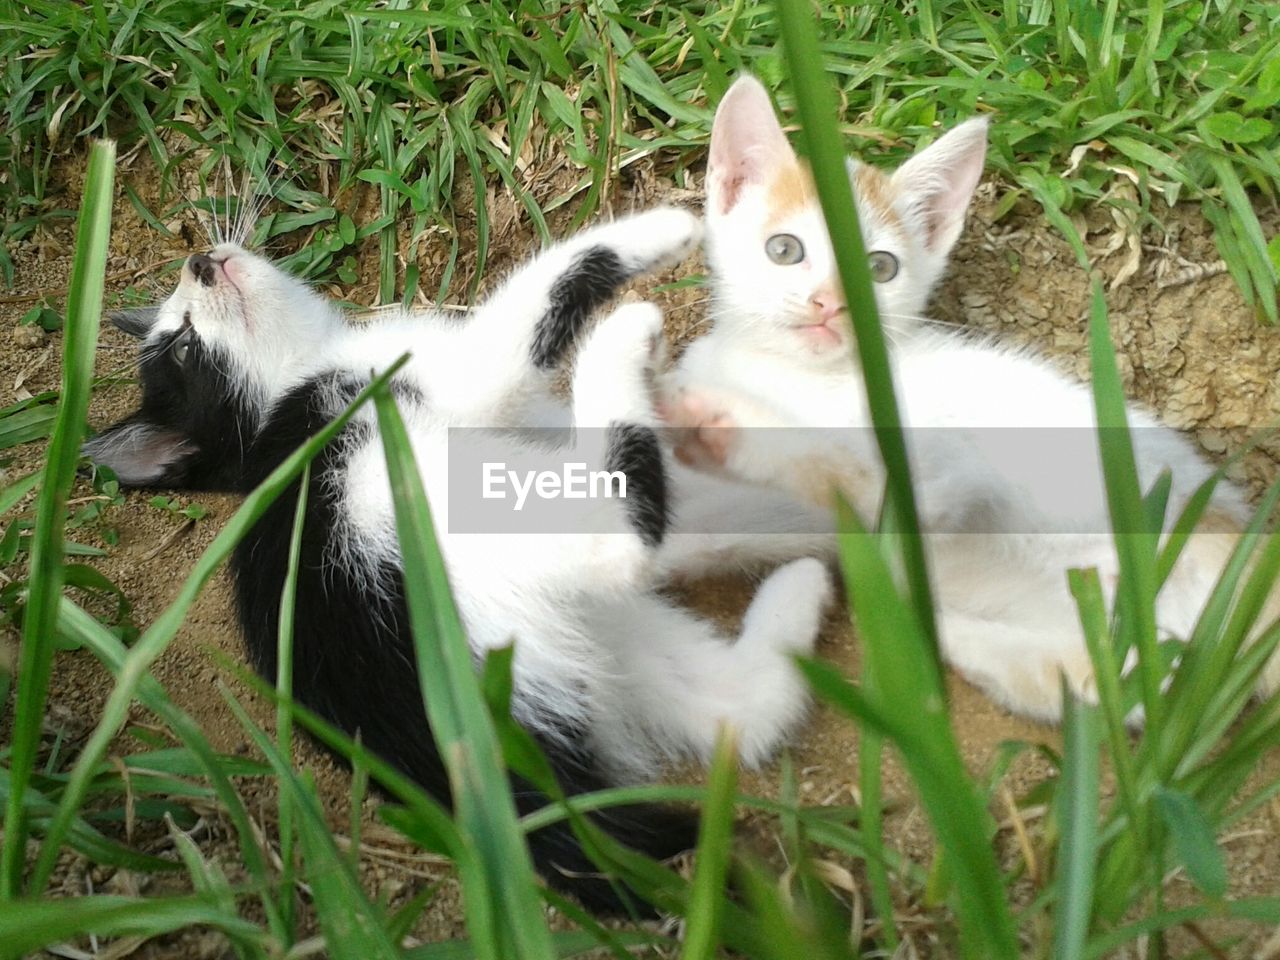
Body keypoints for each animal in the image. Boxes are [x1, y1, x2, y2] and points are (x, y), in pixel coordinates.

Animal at [85, 208, 834, 911]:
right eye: (184, 346)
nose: (200, 261)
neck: (302, 373)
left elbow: (714, 509)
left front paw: (818, 502)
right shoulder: (452, 378)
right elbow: (536, 297)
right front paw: (664, 230)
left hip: (586, 632)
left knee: (737, 711)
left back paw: (802, 586)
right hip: (420, 520)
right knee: (616, 537)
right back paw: (620, 342)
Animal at [660, 77, 1280, 721]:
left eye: (879, 268)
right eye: (784, 249)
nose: (829, 303)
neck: (790, 372)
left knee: (916, 492)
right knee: (1118, 681)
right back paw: (960, 636)